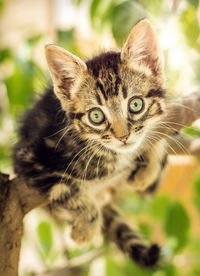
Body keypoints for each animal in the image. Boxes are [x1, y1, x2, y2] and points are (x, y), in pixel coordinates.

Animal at [13, 17, 168, 268]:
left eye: (136, 104)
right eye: (96, 116)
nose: (123, 137)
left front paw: (147, 170)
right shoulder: (28, 159)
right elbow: (66, 189)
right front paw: (83, 233)